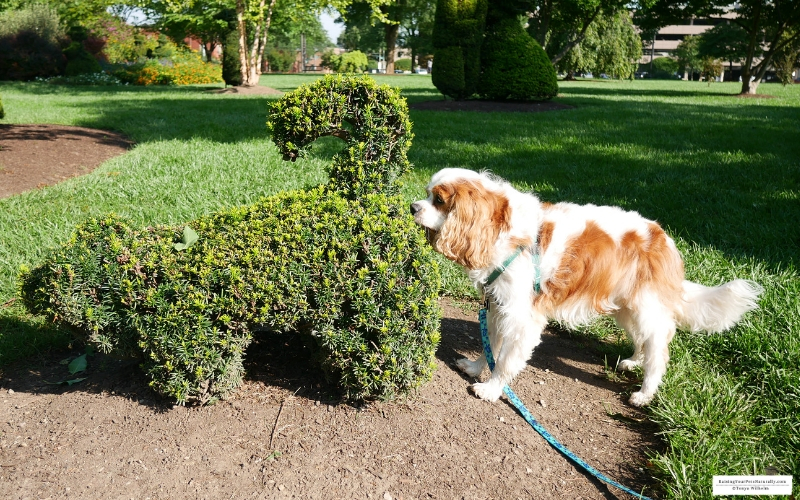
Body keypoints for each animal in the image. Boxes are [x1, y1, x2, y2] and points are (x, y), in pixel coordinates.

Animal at [412, 168, 764, 406]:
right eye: (427, 194)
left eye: (438, 200)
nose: (414, 206)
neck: (500, 230)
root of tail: (665, 240)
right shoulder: (499, 306)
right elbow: (490, 344)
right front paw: (475, 367)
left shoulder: (521, 316)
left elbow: (507, 359)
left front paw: (491, 389)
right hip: (626, 307)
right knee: (644, 340)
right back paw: (633, 361)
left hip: (646, 307)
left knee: (659, 350)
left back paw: (644, 393)